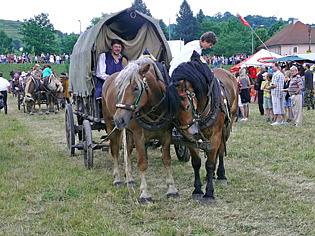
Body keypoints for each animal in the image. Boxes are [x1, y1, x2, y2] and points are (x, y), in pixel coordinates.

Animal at [102, 57, 199, 203]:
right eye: (120, 89)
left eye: (136, 88)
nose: (119, 119)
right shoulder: (139, 136)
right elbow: (142, 163)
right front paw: (145, 193)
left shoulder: (166, 134)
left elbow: (166, 159)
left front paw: (172, 189)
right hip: (110, 125)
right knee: (115, 151)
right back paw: (118, 178)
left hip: (127, 131)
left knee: (128, 151)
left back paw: (129, 179)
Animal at [172, 57, 238, 203]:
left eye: (186, 106)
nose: (188, 131)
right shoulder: (191, 140)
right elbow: (196, 163)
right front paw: (197, 190)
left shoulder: (215, 136)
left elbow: (210, 164)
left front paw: (209, 193)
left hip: (226, 127)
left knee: (220, 151)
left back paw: (221, 175)